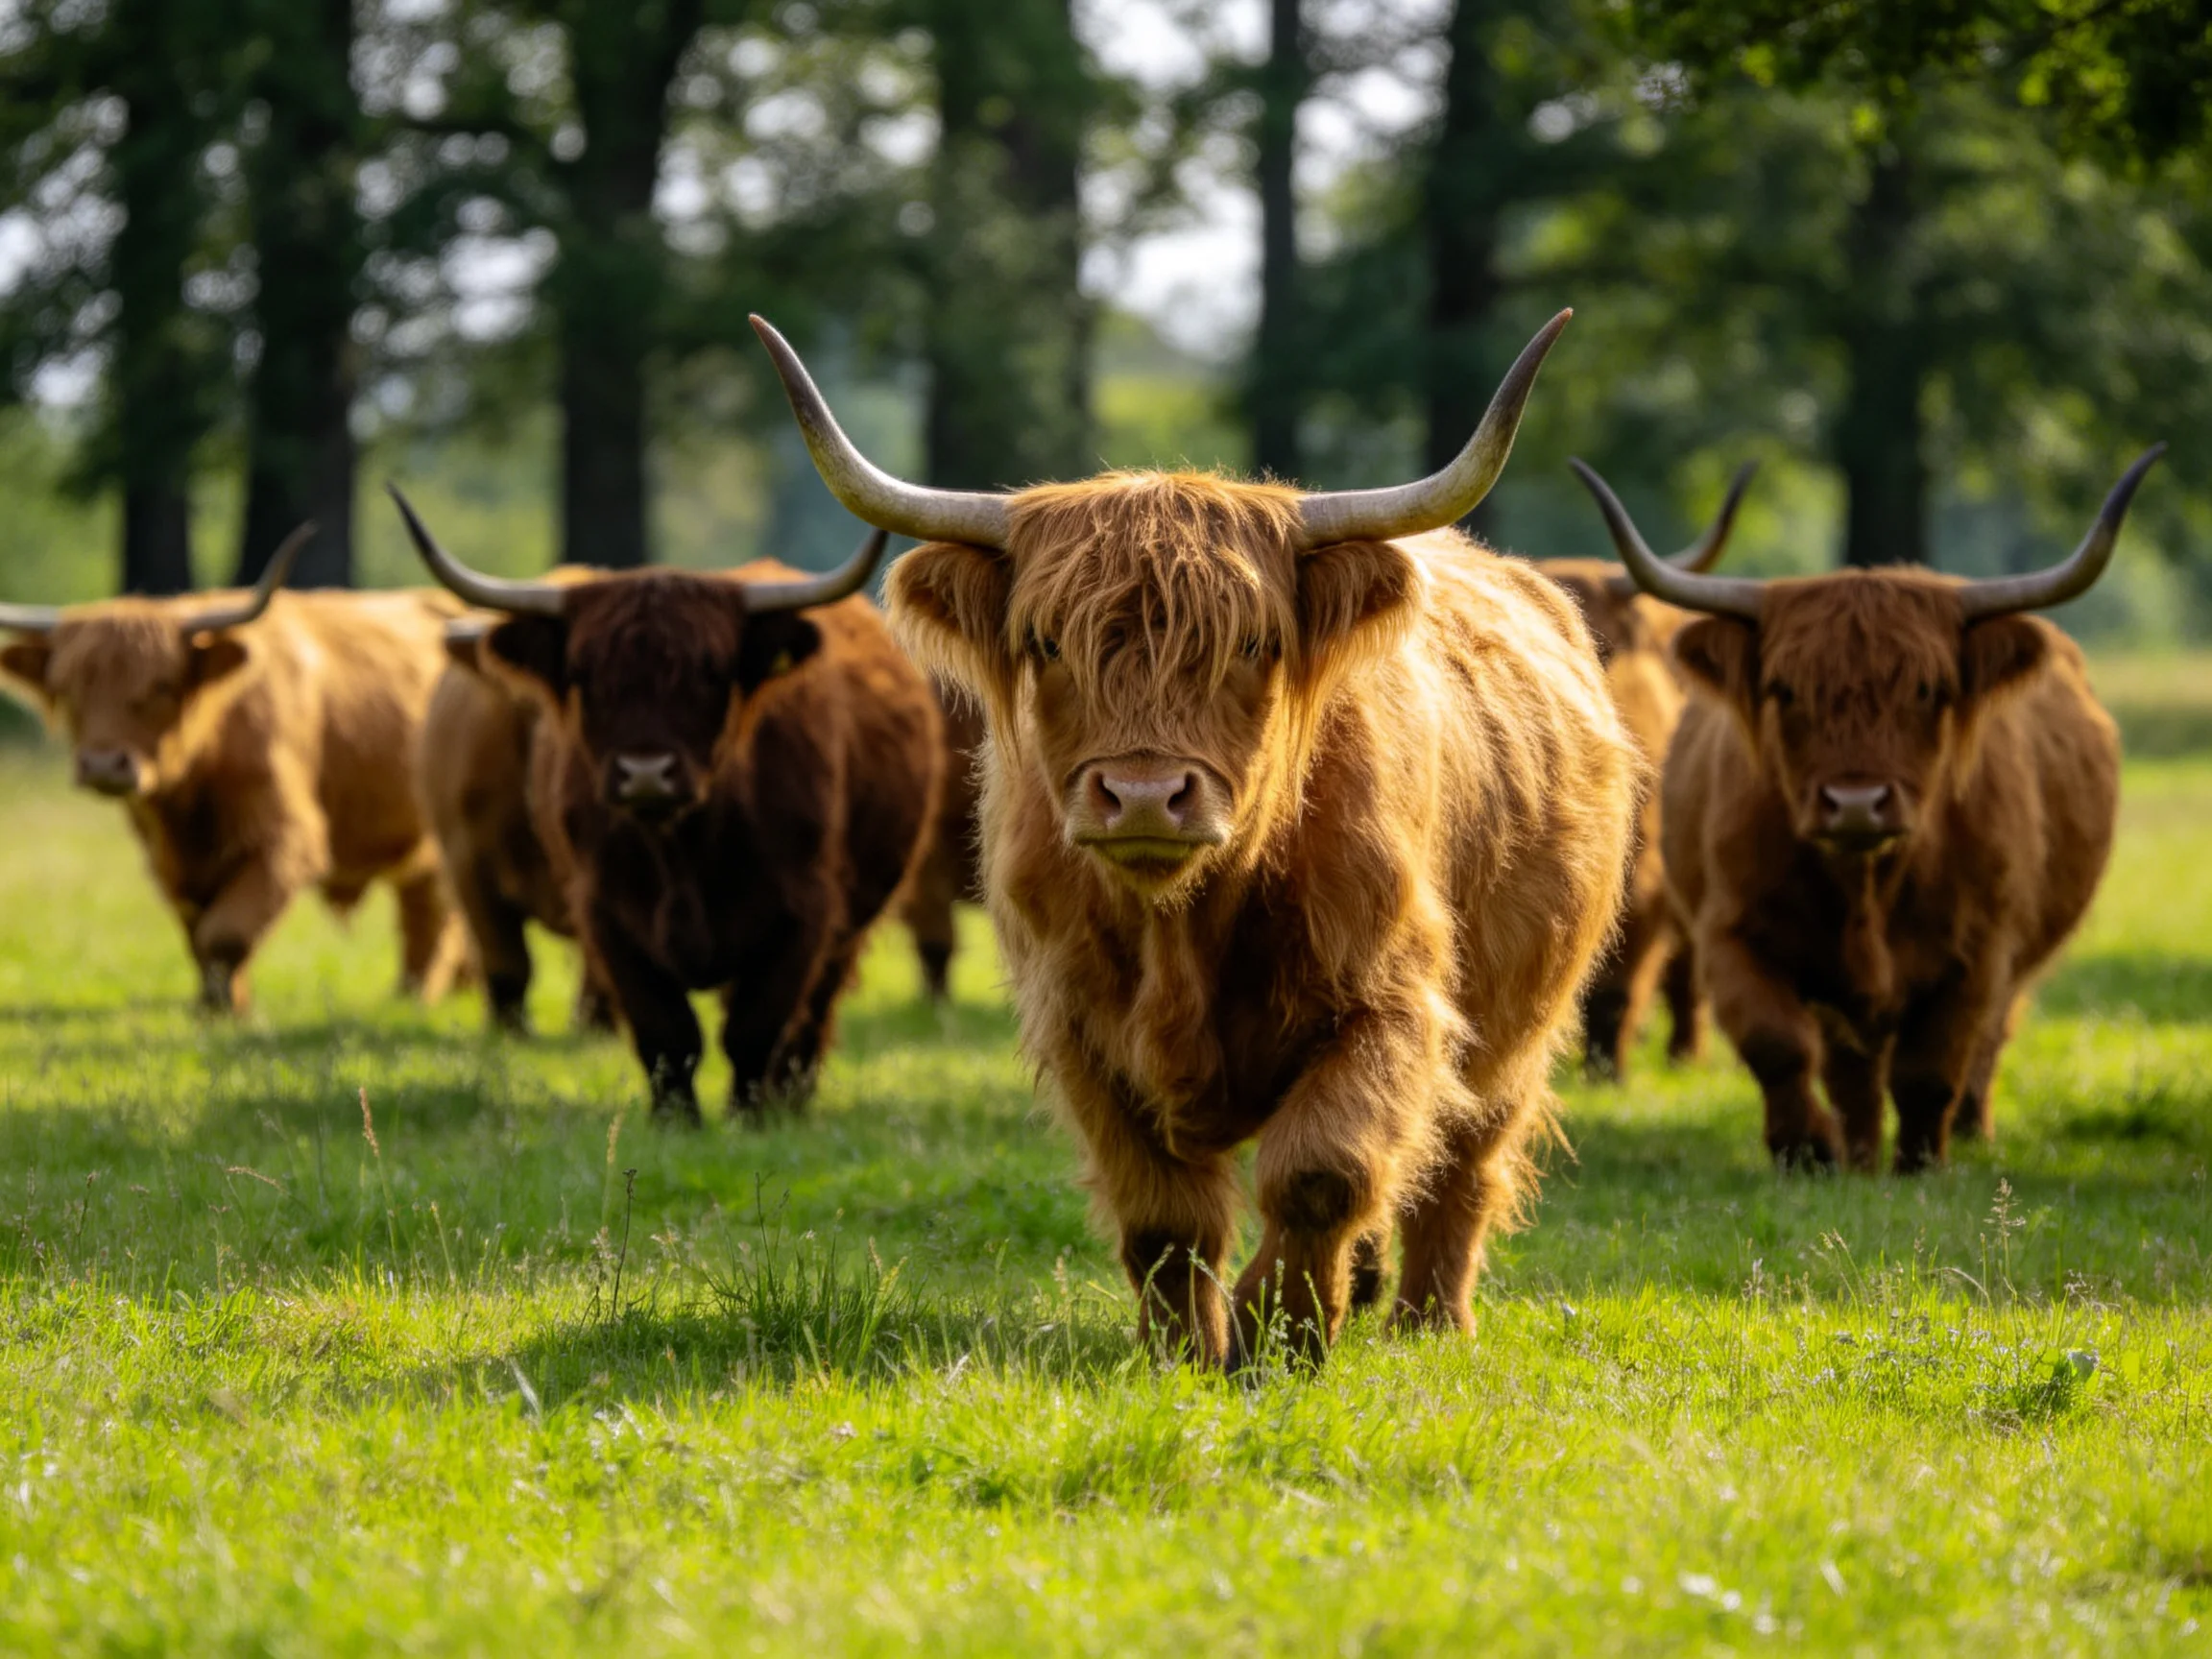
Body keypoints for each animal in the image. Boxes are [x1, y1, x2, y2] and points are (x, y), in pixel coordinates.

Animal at [0, 529, 469, 1012]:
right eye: (67, 688)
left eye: (162, 685)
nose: (103, 764)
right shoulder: (174, 862)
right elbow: (197, 935)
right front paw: (216, 1004)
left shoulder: (285, 839)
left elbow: (225, 933)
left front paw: (229, 1009)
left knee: (433, 913)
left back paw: (415, 995)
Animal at [752, 309, 1639, 1367]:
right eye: (1048, 642)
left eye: (1253, 643)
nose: (1143, 795)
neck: (1184, 924)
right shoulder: (1082, 1030)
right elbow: (1164, 1218)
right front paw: (1183, 1353)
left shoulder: (1394, 1002)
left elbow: (1322, 1172)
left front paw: (1278, 1336)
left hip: (1519, 1026)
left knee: (1464, 1162)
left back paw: (1430, 1320)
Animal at [1535, 463, 1757, 1080]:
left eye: (1604, 645)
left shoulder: (1645, 872)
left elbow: (1621, 975)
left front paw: (1608, 1070)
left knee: (1689, 974)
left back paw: (1685, 1054)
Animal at [1575, 447, 2158, 1173]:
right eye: (1785, 689)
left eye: (1929, 690)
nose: (1856, 804)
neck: (1868, 888)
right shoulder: (1728, 931)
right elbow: (1778, 1045)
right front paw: (1809, 1152)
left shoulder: (1980, 952)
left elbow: (1934, 1065)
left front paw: (1919, 1164)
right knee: (1847, 1064)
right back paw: (1856, 1150)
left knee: (1985, 1042)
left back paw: (1967, 1131)